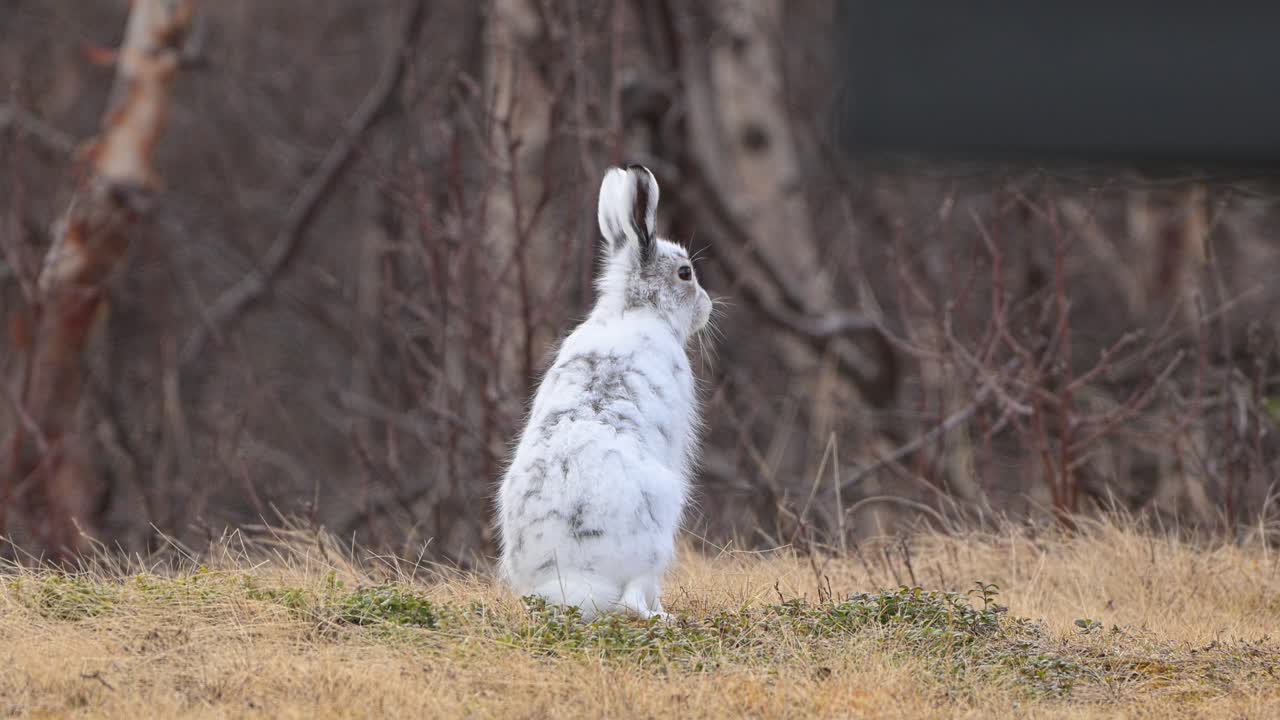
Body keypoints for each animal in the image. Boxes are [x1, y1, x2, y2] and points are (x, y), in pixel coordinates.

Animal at [497, 164, 713, 620]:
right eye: (685, 273)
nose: (706, 306)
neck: (637, 308)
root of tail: (574, 580)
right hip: (659, 525)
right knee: (634, 598)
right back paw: (664, 615)